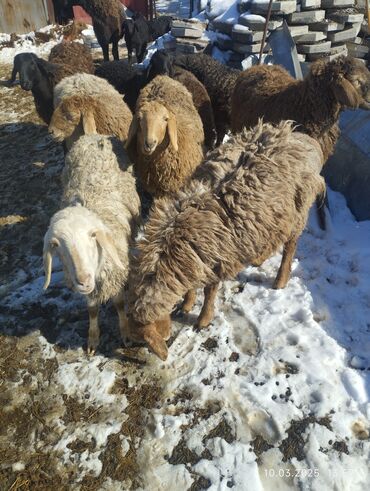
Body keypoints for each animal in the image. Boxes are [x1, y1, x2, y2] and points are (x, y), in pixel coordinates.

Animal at [125, 122, 326, 362]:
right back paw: (259, 258)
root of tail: (304, 139)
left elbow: (210, 291)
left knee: (290, 246)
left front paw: (202, 320)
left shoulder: (218, 257)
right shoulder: (196, 259)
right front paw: (186, 304)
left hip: (298, 211)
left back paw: (280, 280)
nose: (130, 349)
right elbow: (193, 287)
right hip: (272, 216)